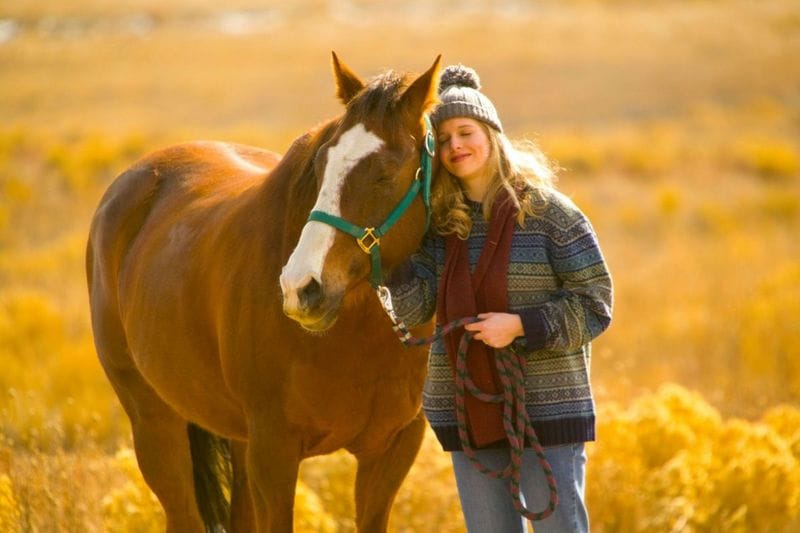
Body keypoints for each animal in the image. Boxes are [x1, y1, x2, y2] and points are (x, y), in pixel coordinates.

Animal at [86, 53, 441, 532]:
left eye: (385, 174)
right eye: (320, 167)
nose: (300, 288)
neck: (359, 337)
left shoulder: (392, 448)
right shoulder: (273, 453)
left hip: (235, 439)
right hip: (154, 424)